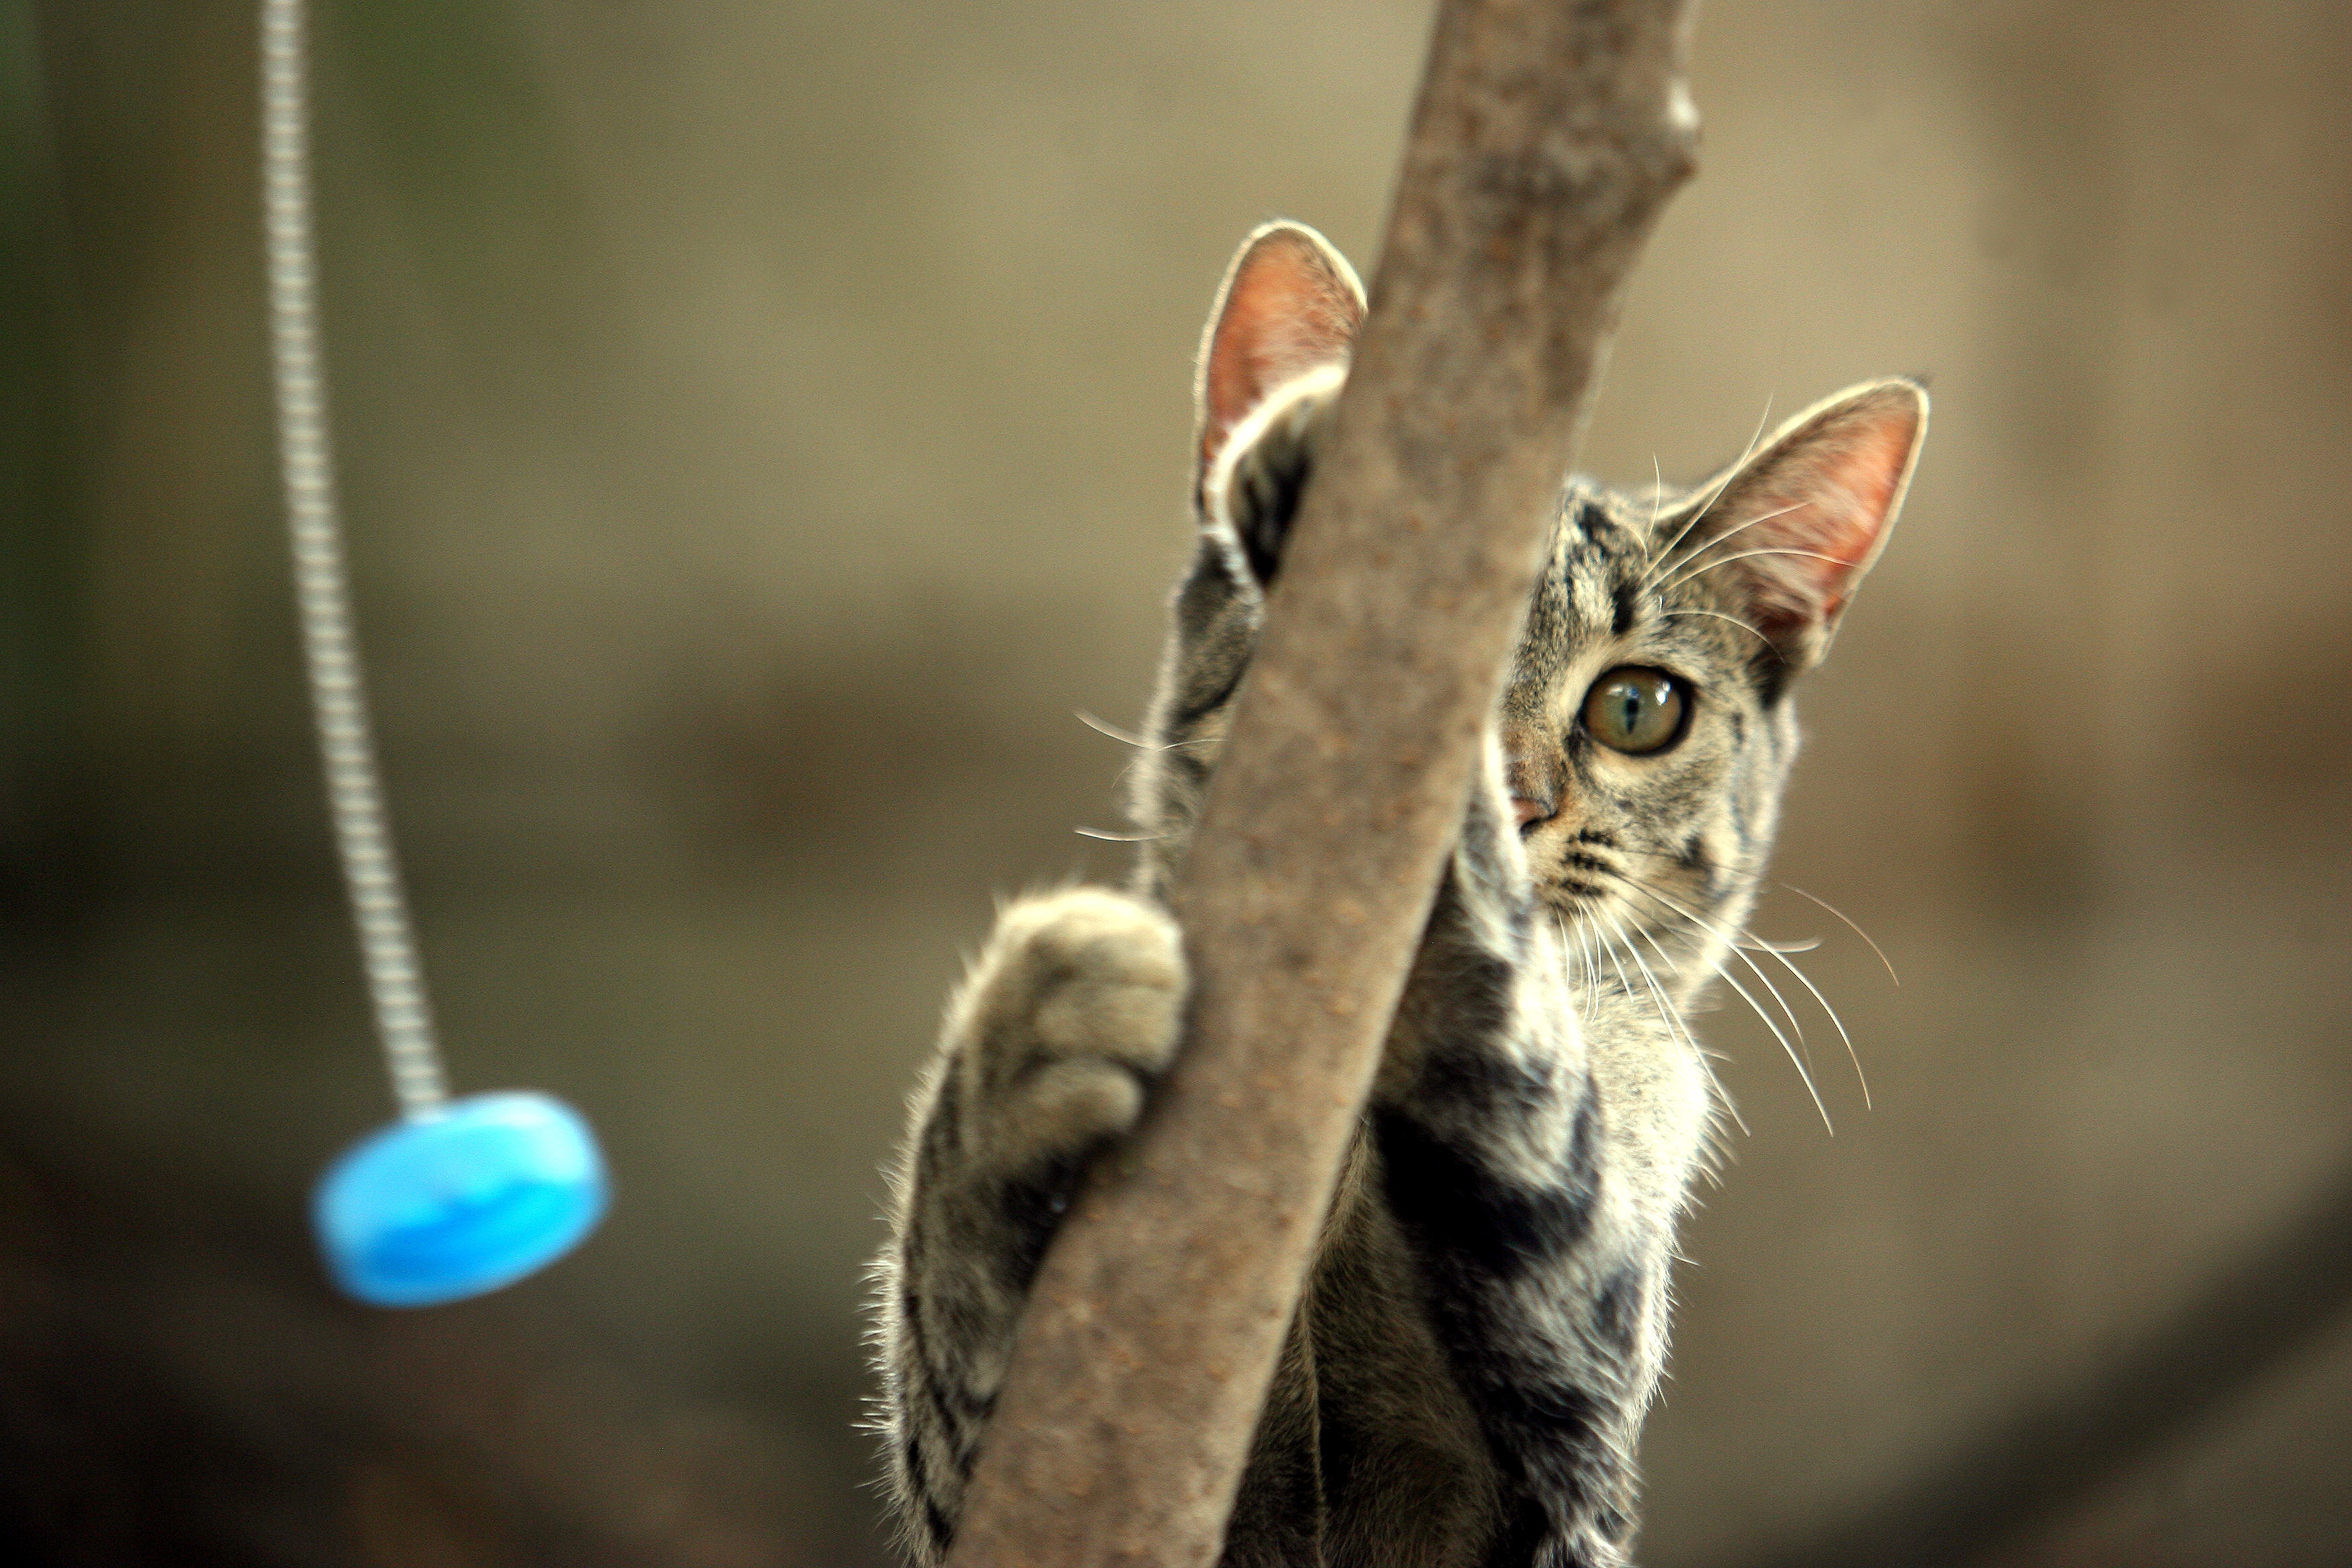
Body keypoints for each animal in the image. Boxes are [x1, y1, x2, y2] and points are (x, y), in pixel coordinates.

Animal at [875, 223, 1919, 1568]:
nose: (1527, 800)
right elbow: (941, 1324)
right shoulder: (996, 1489)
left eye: (1636, 707)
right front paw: (1016, 1042)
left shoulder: (1561, 1424)